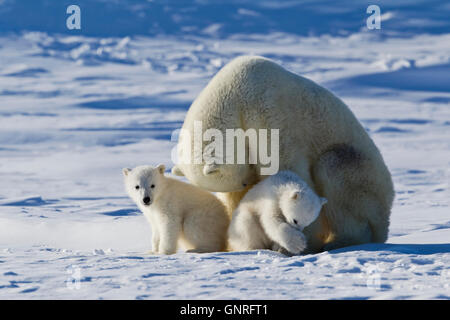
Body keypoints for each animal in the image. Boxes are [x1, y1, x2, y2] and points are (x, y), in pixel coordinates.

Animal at [172, 55, 394, 252]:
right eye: (242, 183)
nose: (250, 181)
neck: (234, 91)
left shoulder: (266, 109)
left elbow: (284, 164)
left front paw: (297, 242)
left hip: (367, 182)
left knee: (335, 168)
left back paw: (339, 241)